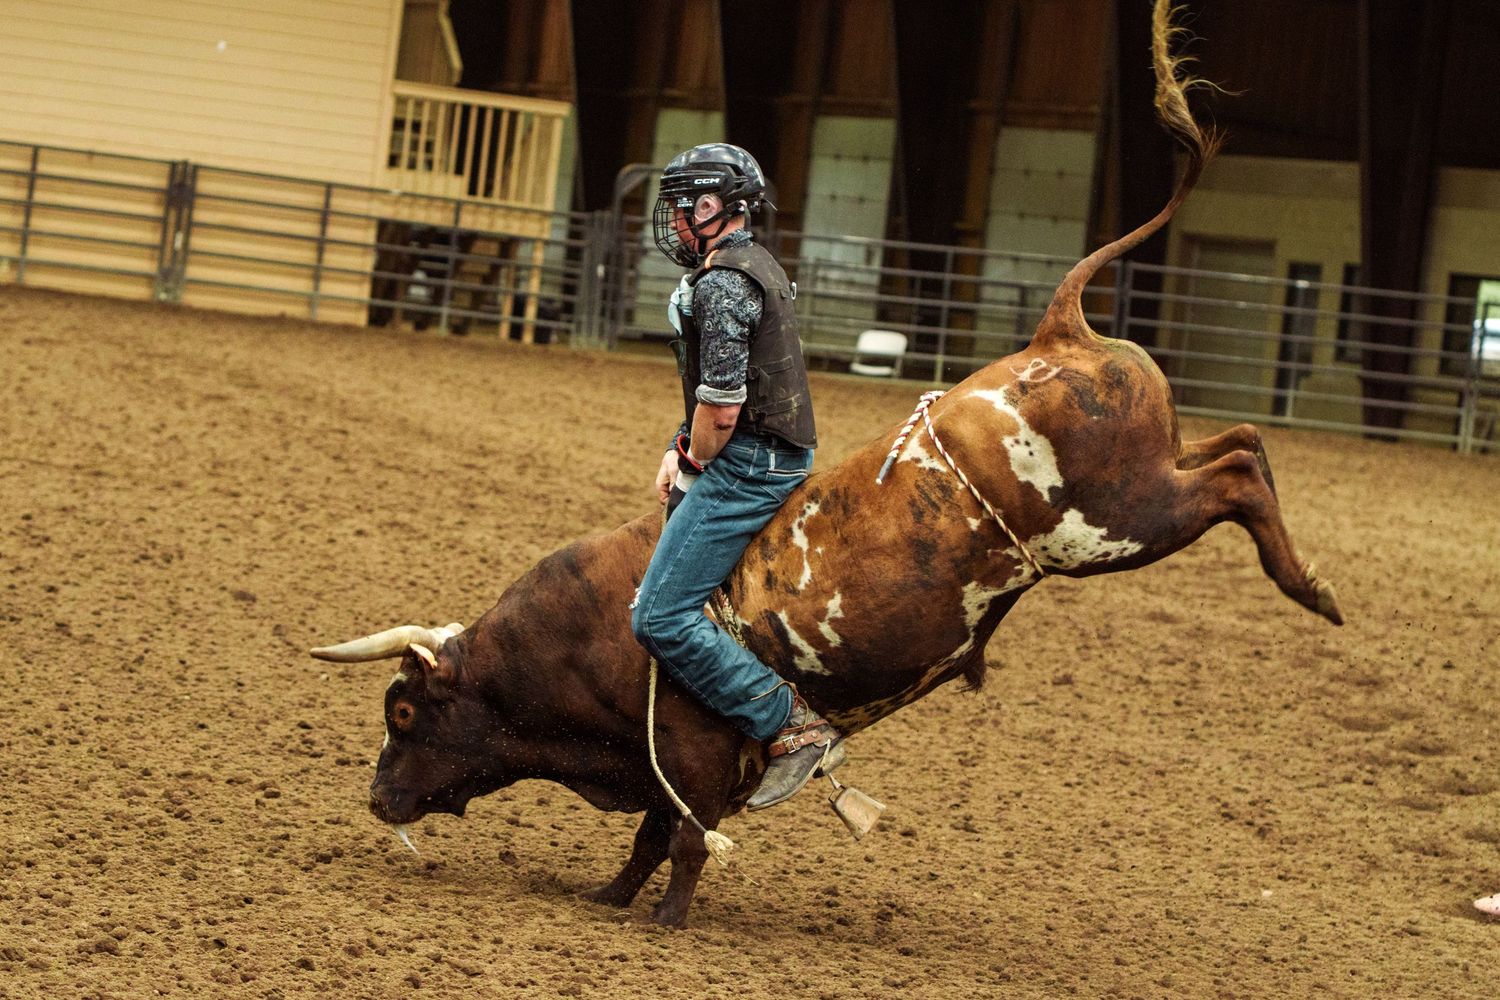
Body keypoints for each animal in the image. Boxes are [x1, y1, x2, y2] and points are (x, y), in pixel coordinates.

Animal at [311, 0, 1343, 927]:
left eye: (404, 715)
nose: (376, 798)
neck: (576, 638)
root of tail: (1059, 329)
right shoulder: (668, 765)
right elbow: (650, 836)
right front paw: (609, 899)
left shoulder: (690, 745)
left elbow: (683, 839)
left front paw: (665, 921)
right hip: (1141, 487)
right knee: (1238, 444)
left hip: (1111, 522)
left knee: (1238, 475)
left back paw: (1313, 588)